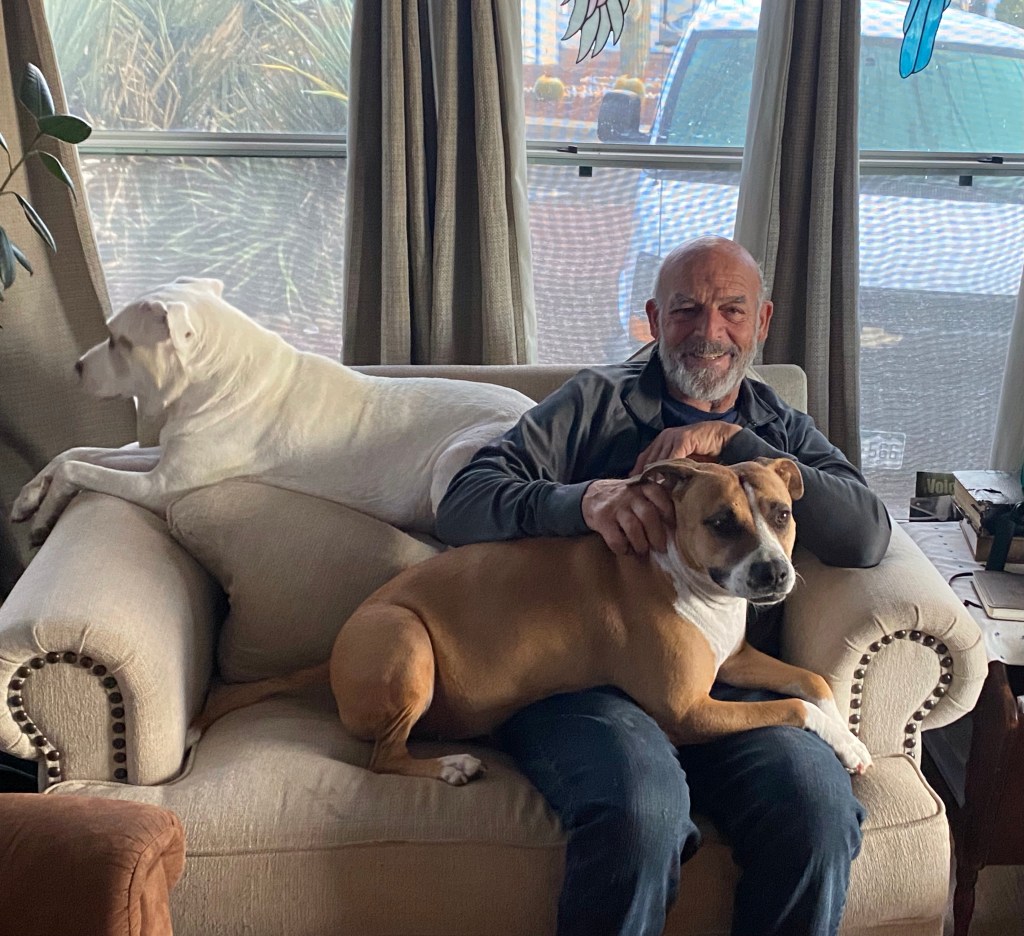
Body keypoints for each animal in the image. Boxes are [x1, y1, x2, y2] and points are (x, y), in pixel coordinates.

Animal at [10, 277, 534, 544]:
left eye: (119, 341)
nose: (76, 367)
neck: (213, 382)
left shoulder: (159, 486)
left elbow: (82, 469)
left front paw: (47, 508)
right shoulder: (164, 458)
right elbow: (78, 453)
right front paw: (30, 498)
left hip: (453, 460)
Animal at [196, 457, 873, 784]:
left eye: (782, 514)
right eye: (722, 523)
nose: (774, 574)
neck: (686, 576)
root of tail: (333, 654)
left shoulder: (733, 660)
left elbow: (812, 680)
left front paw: (849, 728)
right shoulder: (689, 710)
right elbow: (792, 706)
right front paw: (844, 742)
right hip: (405, 638)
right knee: (382, 757)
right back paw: (451, 766)